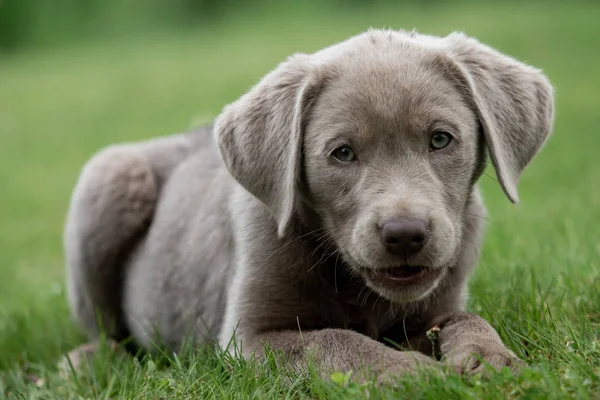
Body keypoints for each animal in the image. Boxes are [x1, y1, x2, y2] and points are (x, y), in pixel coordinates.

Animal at [63, 29, 556, 380]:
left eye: (440, 139)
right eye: (342, 153)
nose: (405, 235)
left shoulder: (434, 302)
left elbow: (465, 317)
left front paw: (489, 358)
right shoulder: (249, 337)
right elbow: (333, 341)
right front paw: (411, 373)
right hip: (109, 176)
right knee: (104, 329)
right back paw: (87, 362)